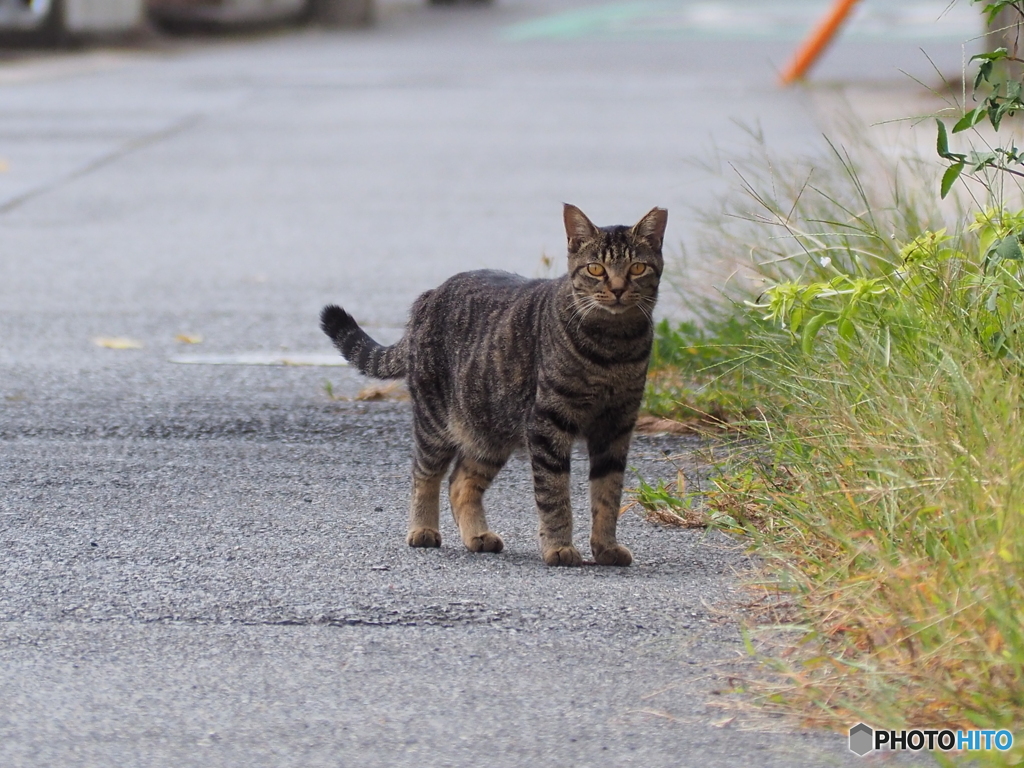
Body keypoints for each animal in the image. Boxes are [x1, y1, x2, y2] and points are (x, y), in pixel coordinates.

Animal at [323, 204, 667, 565]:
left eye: (637, 267)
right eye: (596, 269)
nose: (617, 288)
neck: (613, 347)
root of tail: (429, 296)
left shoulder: (616, 426)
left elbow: (608, 495)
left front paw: (605, 547)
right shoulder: (548, 423)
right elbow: (555, 494)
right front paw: (559, 547)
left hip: (489, 430)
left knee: (460, 482)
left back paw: (477, 535)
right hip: (436, 423)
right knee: (424, 474)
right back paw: (422, 529)